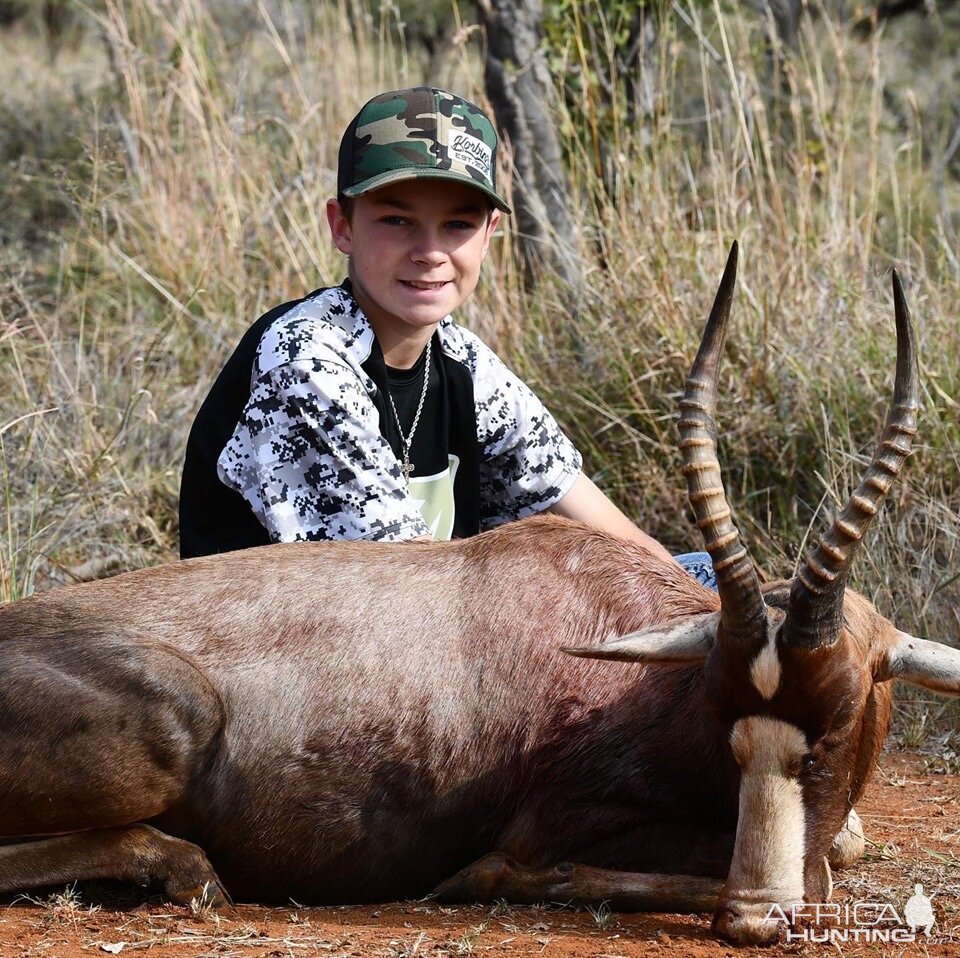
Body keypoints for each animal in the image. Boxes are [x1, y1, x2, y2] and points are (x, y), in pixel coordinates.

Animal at [1, 242, 960, 944]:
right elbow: (819, 871)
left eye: (838, 721)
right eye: (727, 721)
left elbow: (838, 852)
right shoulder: (553, 821)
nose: (755, 920)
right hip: (175, 724)